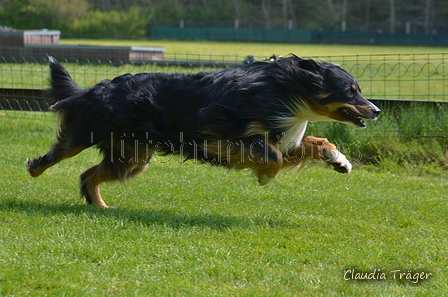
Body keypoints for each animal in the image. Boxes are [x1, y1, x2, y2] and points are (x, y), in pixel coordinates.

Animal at [26, 56, 380, 207]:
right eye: (350, 91)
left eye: (359, 90)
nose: (376, 110)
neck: (282, 90)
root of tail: (90, 89)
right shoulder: (218, 130)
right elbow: (273, 157)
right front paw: (265, 176)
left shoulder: (281, 137)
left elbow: (311, 144)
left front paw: (339, 160)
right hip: (85, 134)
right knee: (55, 156)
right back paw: (34, 168)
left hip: (132, 157)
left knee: (88, 175)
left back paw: (100, 207)